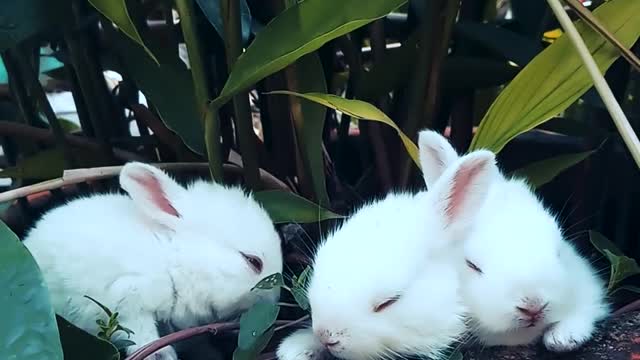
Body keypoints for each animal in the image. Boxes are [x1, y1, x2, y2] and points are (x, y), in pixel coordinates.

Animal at [23, 162, 282, 358]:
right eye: (253, 261)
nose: (275, 298)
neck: (173, 258)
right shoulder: (127, 300)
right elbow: (141, 335)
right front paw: (161, 355)